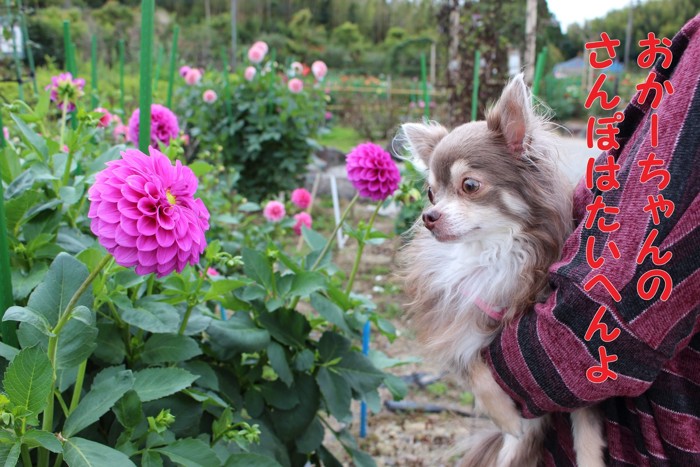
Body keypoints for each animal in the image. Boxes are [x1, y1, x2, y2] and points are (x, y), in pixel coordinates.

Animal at [396, 75, 604, 466]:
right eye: (430, 193)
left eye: (469, 185)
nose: (429, 217)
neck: (493, 252)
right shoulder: (461, 323)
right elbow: (471, 362)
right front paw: (506, 416)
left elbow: (585, 422)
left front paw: (591, 458)